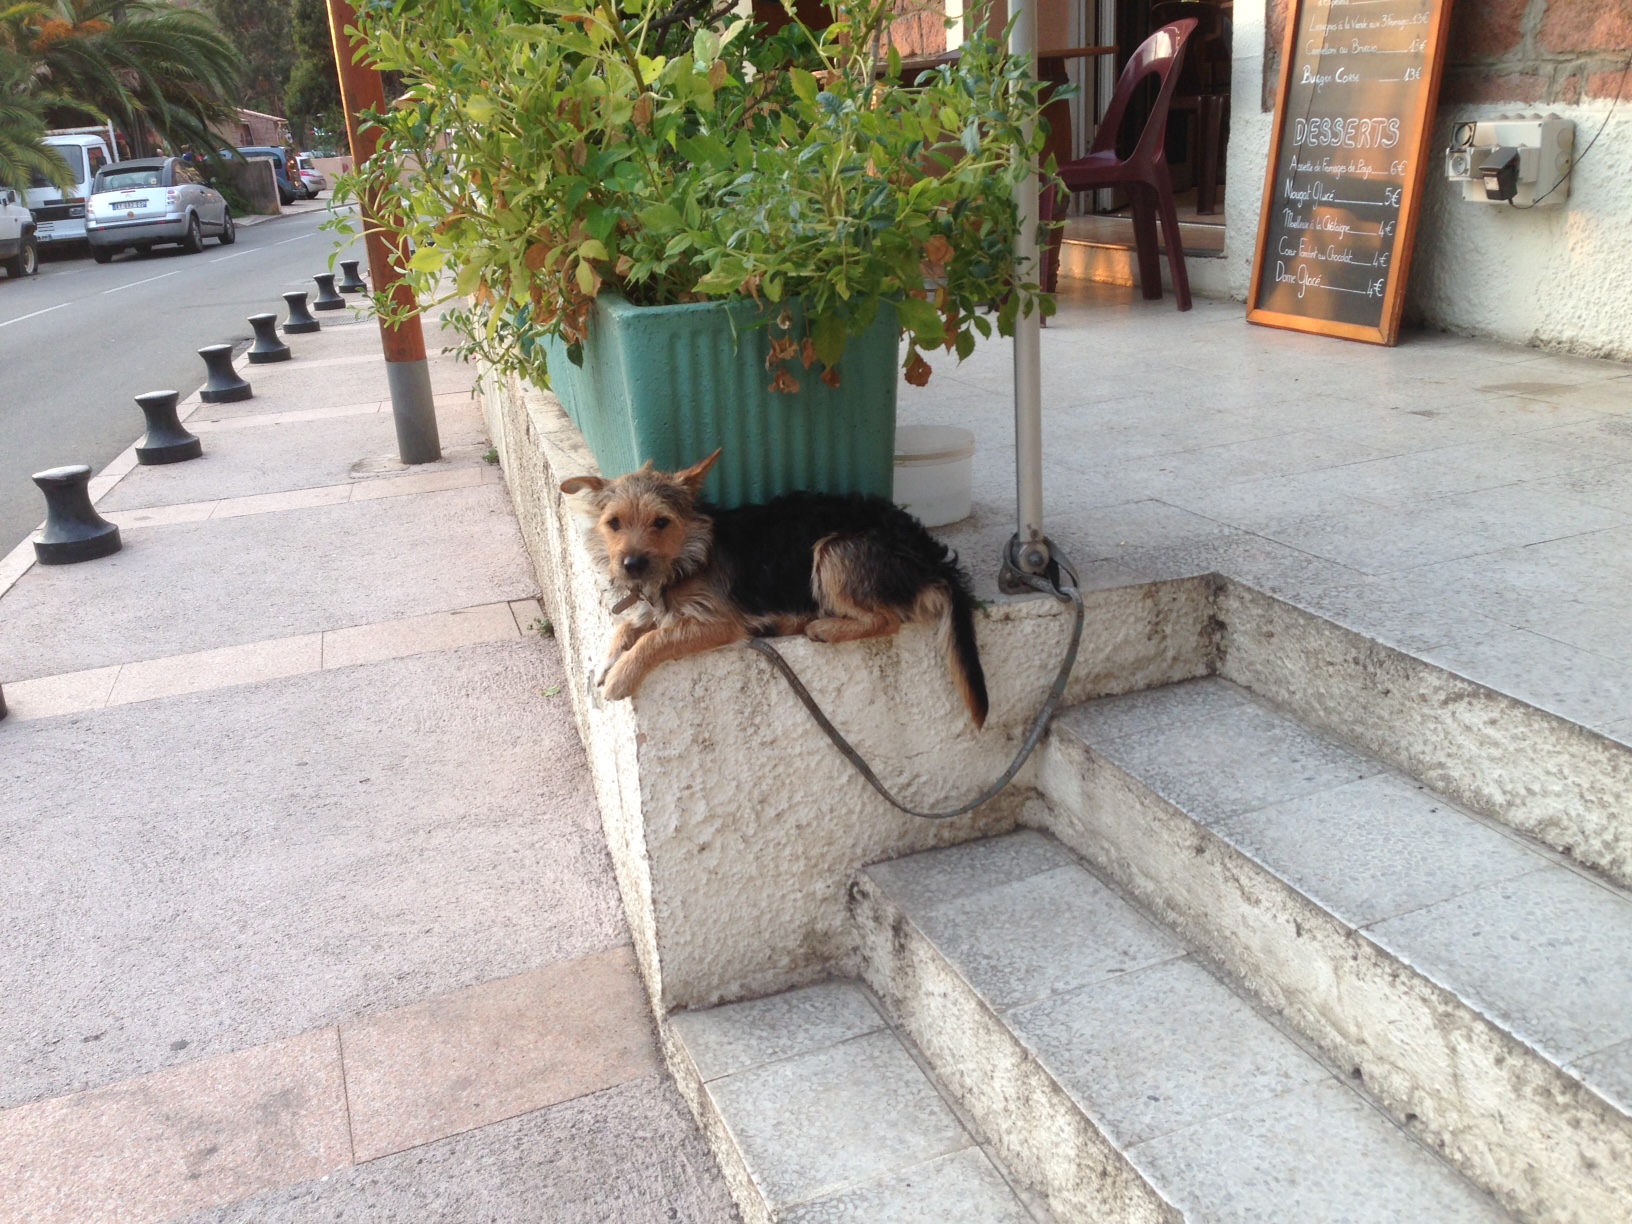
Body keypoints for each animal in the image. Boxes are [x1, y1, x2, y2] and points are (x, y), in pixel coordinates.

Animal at [561, 449, 989, 726]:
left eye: (662, 522)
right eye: (614, 523)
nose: (632, 565)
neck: (688, 556)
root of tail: (929, 554)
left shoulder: (718, 621)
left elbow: (657, 638)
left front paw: (622, 675)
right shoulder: (660, 607)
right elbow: (627, 626)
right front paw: (607, 661)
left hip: (834, 550)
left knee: (888, 619)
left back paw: (824, 627)